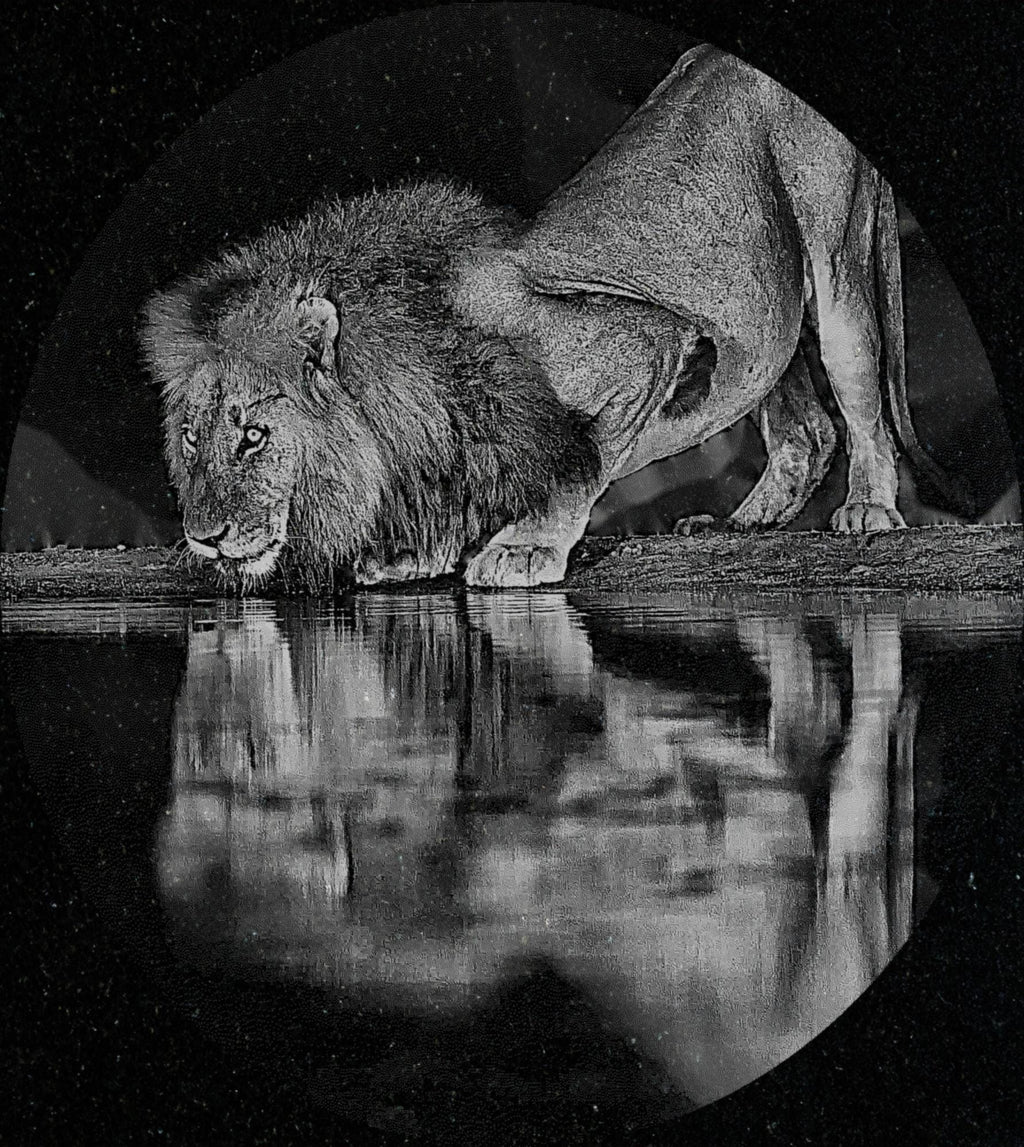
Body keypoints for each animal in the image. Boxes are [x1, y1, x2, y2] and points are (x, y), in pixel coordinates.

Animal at [141, 43, 971, 590]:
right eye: (191, 437)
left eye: (254, 435)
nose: (203, 539)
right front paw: (420, 554)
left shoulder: (643, 342)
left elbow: (581, 461)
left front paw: (524, 547)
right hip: (758, 306)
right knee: (803, 426)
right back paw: (745, 521)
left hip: (835, 259)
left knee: (857, 403)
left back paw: (867, 508)